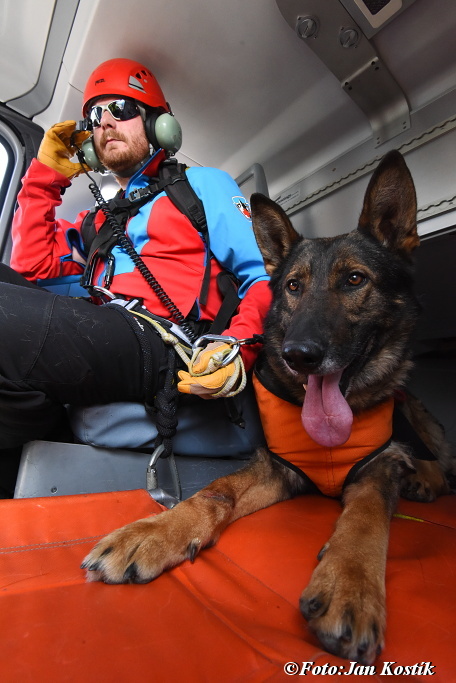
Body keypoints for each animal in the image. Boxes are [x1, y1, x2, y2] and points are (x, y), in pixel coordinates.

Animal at [82, 151, 453, 665]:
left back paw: (424, 478)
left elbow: (365, 516)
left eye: (355, 279)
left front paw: (350, 586)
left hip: (413, 412)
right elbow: (215, 491)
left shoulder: (375, 466)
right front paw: (155, 532)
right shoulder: (277, 468)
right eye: (293, 287)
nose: (300, 354)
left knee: (436, 456)